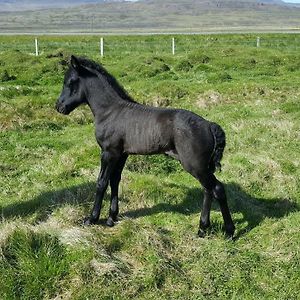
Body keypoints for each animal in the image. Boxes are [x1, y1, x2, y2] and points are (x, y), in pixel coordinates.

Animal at [55, 55, 234, 237]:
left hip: (195, 165)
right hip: (202, 167)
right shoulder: (122, 154)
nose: (59, 106)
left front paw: (92, 218)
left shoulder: (109, 152)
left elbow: (101, 182)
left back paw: (229, 231)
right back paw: (202, 228)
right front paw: (112, 217)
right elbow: (115, 180)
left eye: (70, 82)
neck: (110, 111)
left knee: (217, 188)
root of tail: (209, 125)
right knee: (208, 190)